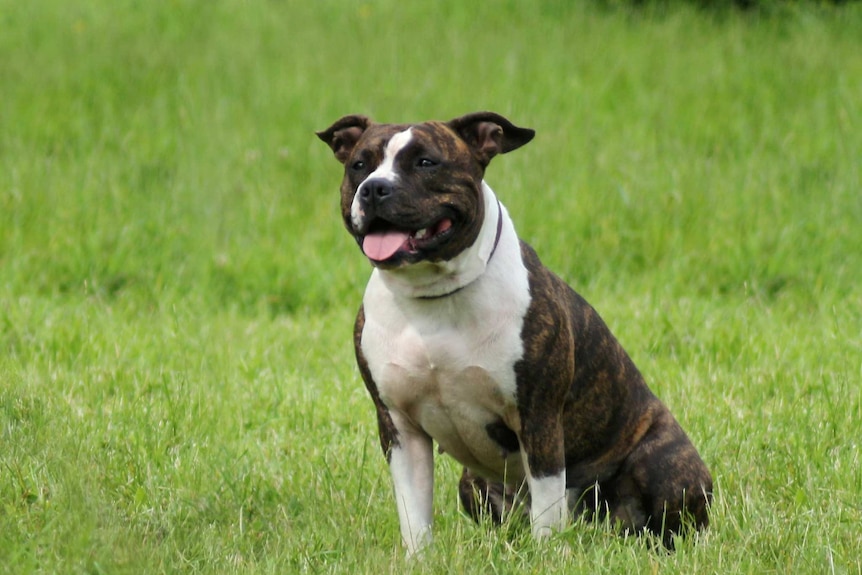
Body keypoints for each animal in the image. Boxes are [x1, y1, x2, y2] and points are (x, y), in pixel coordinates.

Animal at [318, 110, 716, 556]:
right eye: (359, 164)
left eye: (425, 162)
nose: (374, 188)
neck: (432, 298)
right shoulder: (400, 428)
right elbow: (414, 511)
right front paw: (419, 557)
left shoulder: (538, 417)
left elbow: (546, 503)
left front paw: (545, 556)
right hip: (472, 484)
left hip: (663, 465)